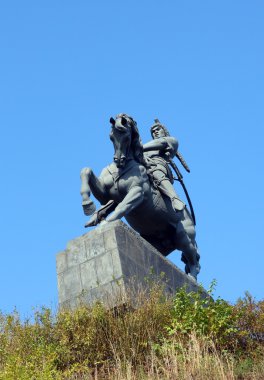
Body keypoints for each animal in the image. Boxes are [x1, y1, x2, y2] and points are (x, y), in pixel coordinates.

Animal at [80, 113, 200, 280]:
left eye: (126, 136)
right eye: (111, 136)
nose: (118, 160)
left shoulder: (137, 193)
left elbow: (122, 207)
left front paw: (107, 222)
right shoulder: (105, 194)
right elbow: (86, 171)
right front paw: (88, 205)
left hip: (184, 237)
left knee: (193, 260)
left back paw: (191, 278)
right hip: (160, 242)